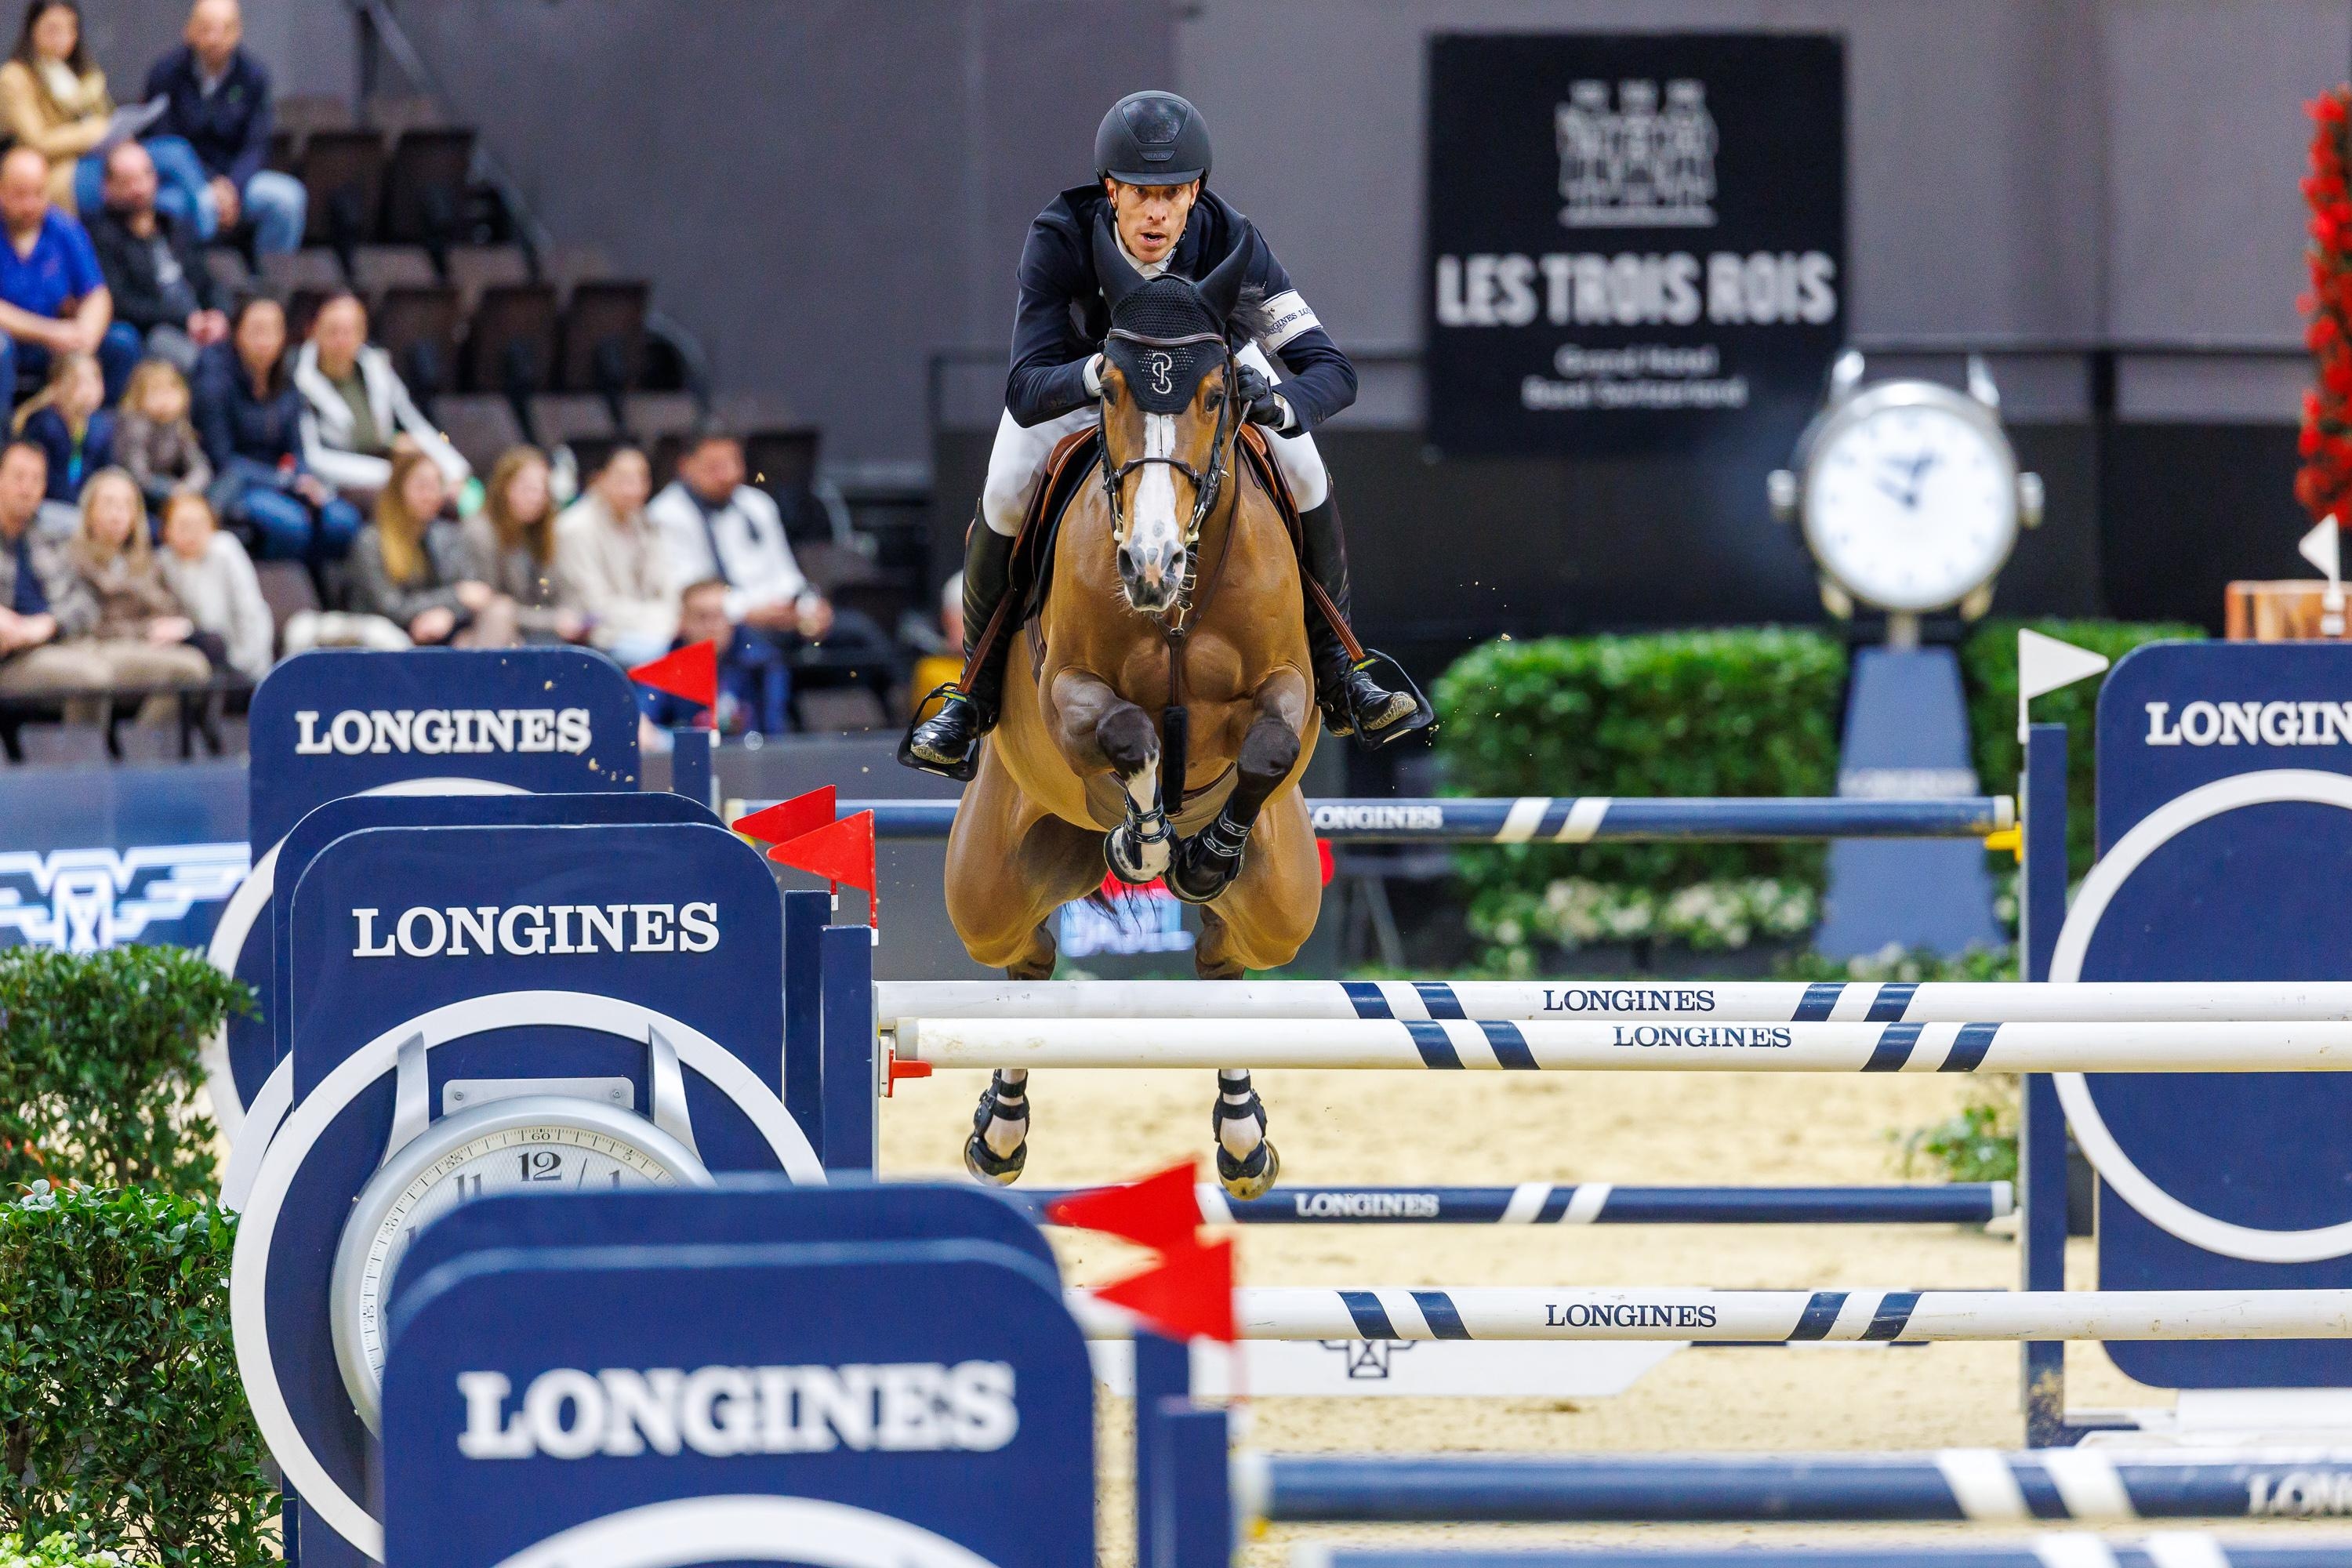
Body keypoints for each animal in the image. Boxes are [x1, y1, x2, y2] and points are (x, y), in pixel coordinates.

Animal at [941, 223, 1327, 1203]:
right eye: (1108, 389)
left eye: (1219, 394)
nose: (1148, 566)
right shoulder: (1066, 693)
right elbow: (1130, 733)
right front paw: (1144, 839)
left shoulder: (1290, 691)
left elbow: (1268, 747)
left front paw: (1202, 852)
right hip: (990, 885)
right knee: (1026, 962)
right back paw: (999, 1131)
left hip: (1285, 900)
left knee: (1223, 963)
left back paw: (1242, 1135)